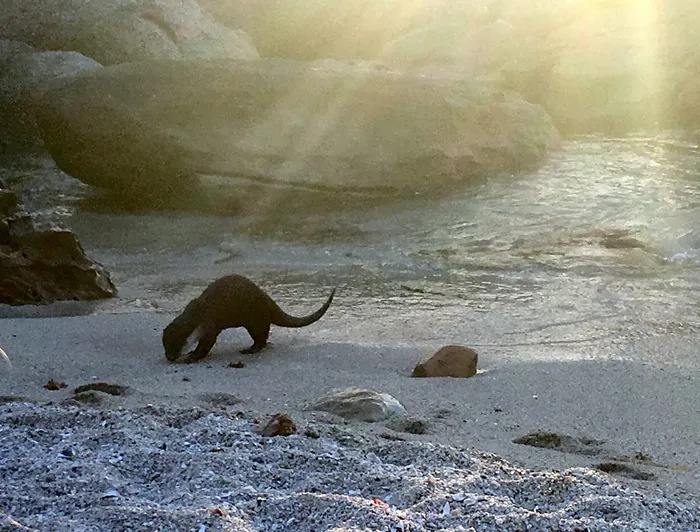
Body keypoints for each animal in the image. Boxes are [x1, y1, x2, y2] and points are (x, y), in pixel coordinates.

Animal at [163, 274, 336, 363]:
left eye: (177, 345)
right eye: (165, 345)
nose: (169, 358)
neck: (199, 314)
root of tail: (267, 300)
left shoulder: (210, 324)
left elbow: (206, 344)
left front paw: (191, 357)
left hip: (255, 319)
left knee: (262, 337)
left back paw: (250, 350)